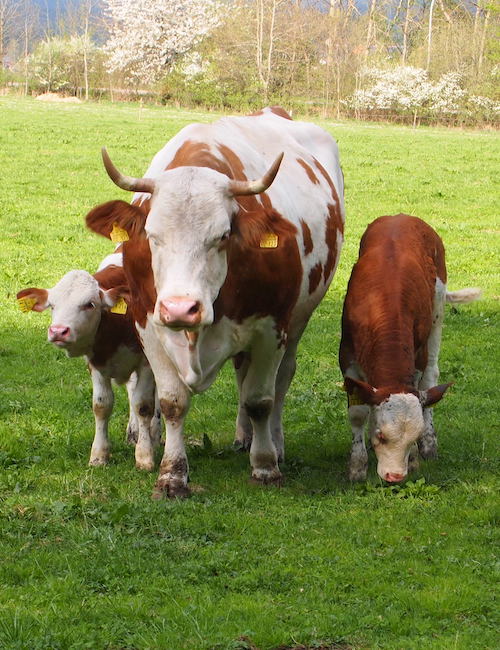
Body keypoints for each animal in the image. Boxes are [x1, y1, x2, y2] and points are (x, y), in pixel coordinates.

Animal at [17, 251, 161, 471]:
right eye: (52, 306)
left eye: (89, 304)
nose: (58, 331)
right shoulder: (95, 364)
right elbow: (101, 405)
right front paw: (99, 455)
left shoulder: (146, 362)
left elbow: (143, 405)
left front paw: (144, 456)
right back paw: (133, 433)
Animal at [85, 106, 345, 498]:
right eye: (152, 235)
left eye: (222, 236)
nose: (181, 308)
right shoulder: (148, 324)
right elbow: (172, 402)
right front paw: (171, 475)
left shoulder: (272, 327)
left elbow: (260, 400)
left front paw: (265, 466)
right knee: (241, 373)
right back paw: (242, 437)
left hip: (299, 321)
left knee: (280, 381)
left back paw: (274, 444)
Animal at [339, 214, 480, 483]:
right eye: (382, 435)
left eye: (412, 437)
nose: (395, 476)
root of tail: (402, 216)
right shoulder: (347, 356)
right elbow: (358, 411)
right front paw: (357, 466)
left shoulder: (418, 354)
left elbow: (421, 388)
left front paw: (415, 455)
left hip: (437, 312)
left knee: (431, 377)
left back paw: (430, 444)